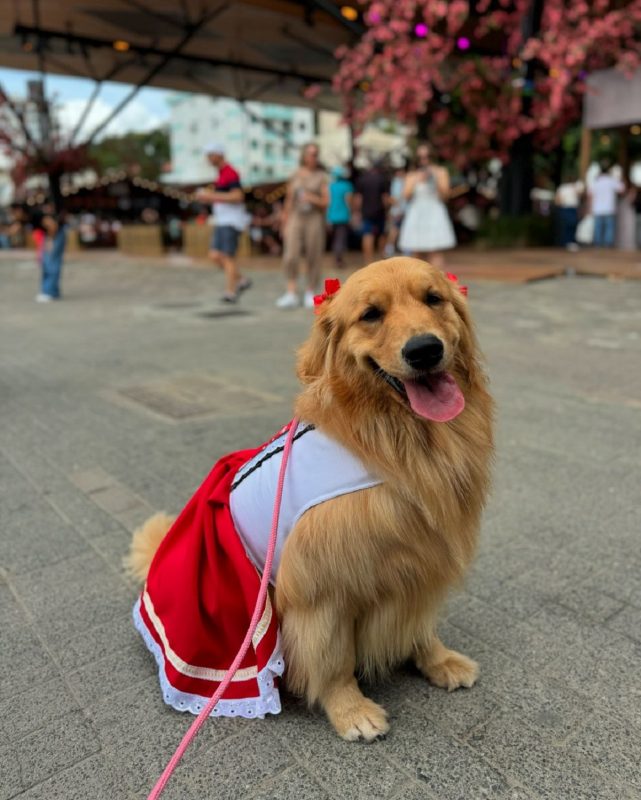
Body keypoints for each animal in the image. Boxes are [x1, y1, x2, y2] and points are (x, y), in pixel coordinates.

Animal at [127, 260, 492, 740]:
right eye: (371, 314)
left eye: (434, 299)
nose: (425, 350)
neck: (392, 443)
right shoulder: (322, 589)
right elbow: (334, 660)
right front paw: (351, 711)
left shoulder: (420, 562)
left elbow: (419, 626)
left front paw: (439, 660)